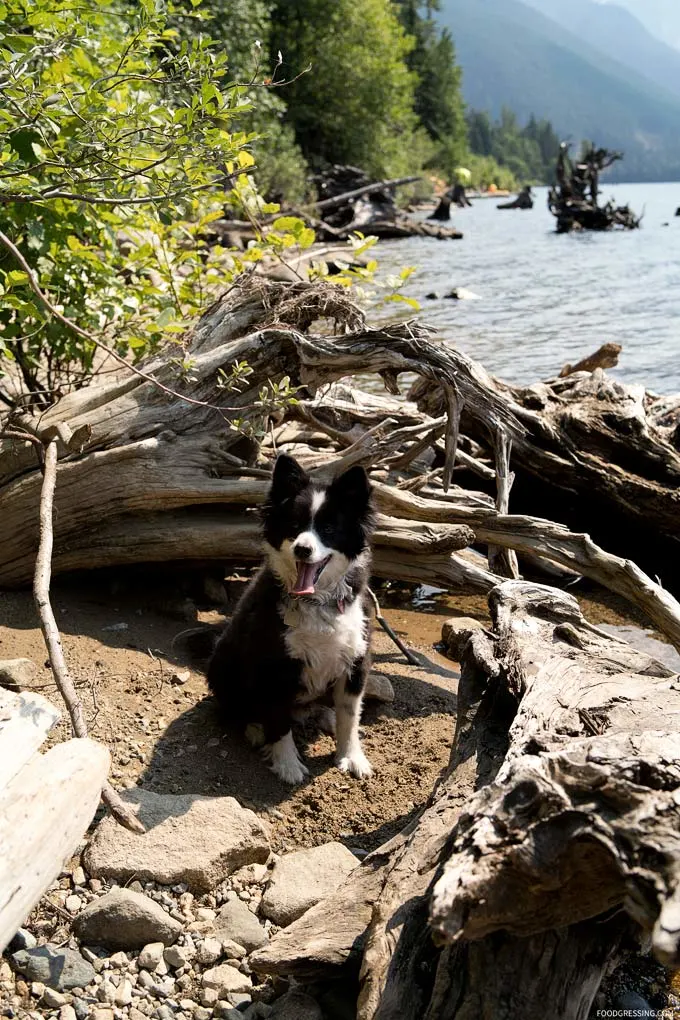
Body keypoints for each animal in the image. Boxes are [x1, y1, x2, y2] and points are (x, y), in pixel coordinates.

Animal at [208, 452, 377, 779]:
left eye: (329, 529)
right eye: (294, 525)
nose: (302, 549)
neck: (316, 601)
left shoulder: (356, 660)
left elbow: (350, 716)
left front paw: (352, 757)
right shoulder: (274, 666)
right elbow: (278, 719)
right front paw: (287, 764)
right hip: (222, 661)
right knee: (237, 708)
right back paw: (255, 729)